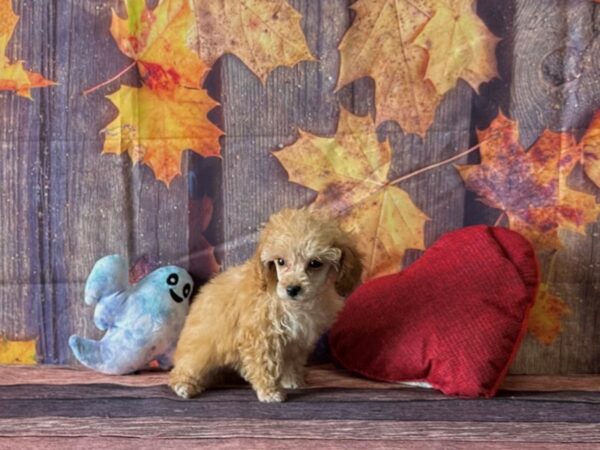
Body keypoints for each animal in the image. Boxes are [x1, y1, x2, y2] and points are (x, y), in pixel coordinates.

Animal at [169, 209, 360, 402]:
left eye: (315, 263)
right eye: (281, 261)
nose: (292, 289)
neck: (293, 304)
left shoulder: (297, 339)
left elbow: (293, 361)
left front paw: (293, 380)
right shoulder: (261, 335)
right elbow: (265, 364)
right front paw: (270, 392)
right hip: (200, 351)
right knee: (183, 370)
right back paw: (184, 386)